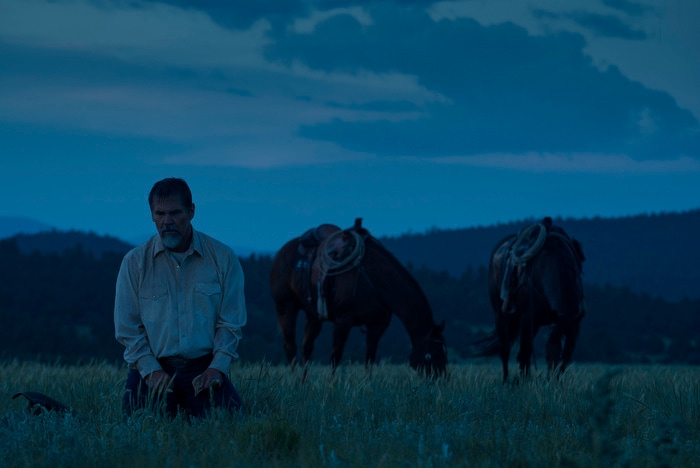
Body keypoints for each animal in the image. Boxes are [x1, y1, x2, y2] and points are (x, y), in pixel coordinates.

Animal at [270, 219, 448, 376]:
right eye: (433, 353)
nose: (439, 377)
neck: (373, 278)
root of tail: (281, 252)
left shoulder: (377, 326)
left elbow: (369, 358)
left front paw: (368, 385)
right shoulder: (343, 320)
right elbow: (336, 355)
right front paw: (332, 385)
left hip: (313, 315)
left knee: (307, 347)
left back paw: (303, 382)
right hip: (286, 307)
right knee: (290, 346)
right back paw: (294, 381)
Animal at [482, 218, 584, 382]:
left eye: (567, 356)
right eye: (549, 356)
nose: (554, 380)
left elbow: (527, 353)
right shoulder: (526, 318)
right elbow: (524, 354)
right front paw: (523, 382)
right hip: (501, 314)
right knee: (505, 349)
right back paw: (505, 380)